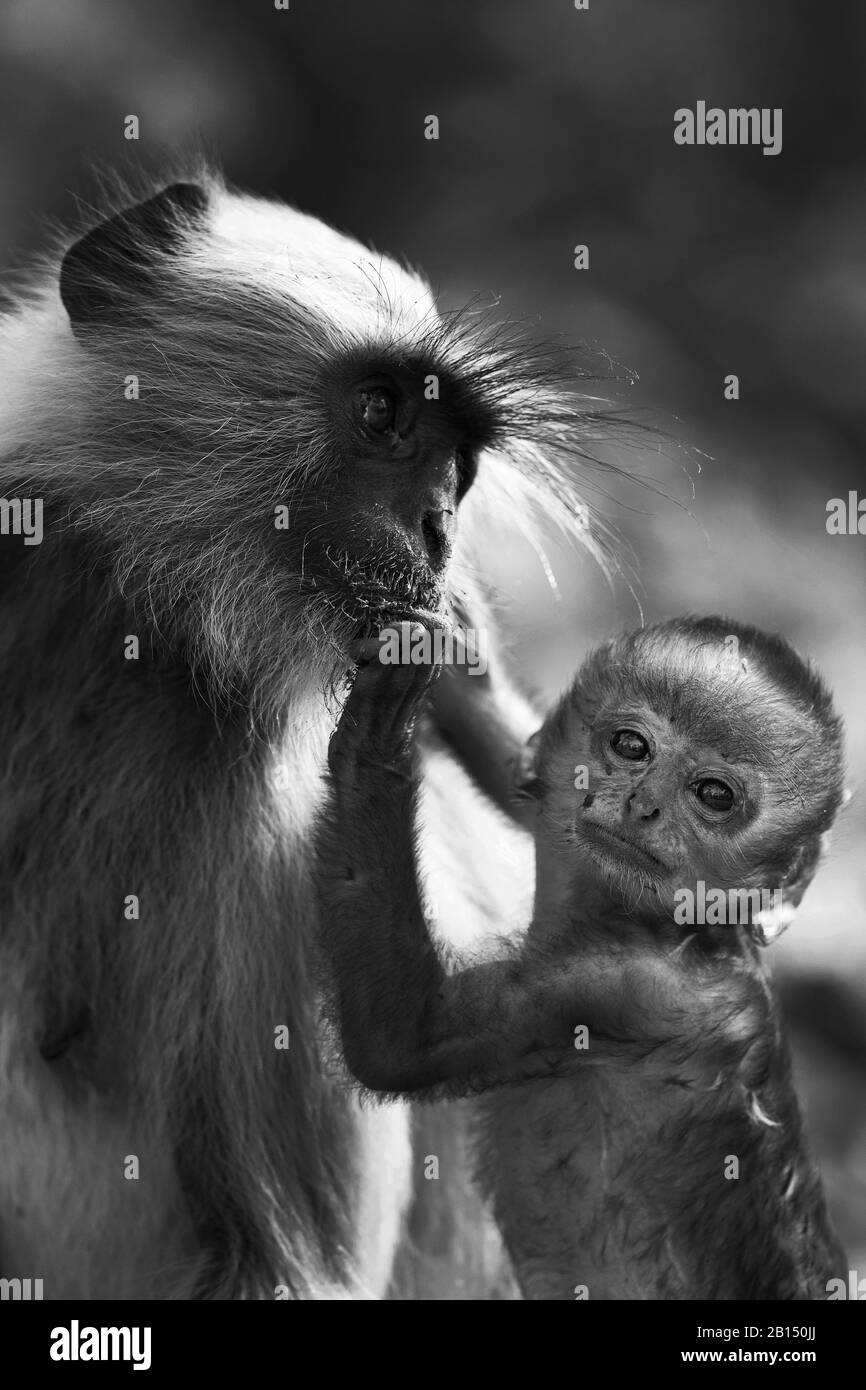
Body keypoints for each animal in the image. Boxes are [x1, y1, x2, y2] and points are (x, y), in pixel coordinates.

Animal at [316, 614, 845, 1295]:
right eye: (630, 747)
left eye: (713, 795)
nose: (643, 804)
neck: (679, 932)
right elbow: (514, 763)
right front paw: (453, 644)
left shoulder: (627, 989)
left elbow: (403, 1038)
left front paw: (379, 727)